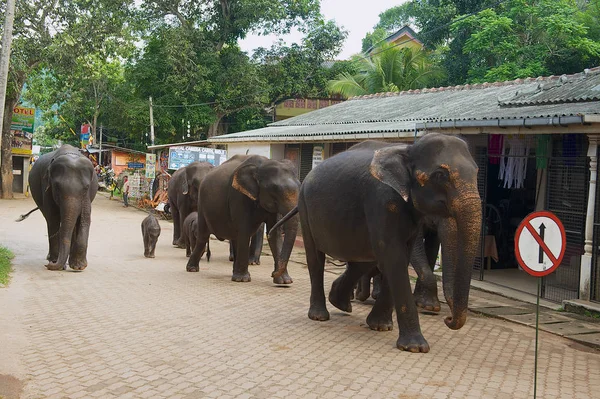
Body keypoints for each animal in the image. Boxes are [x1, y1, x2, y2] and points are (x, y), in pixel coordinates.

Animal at [19, 144, 98, 272]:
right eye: (57, 187)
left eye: (86, 188)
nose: (49, 265)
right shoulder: (47, 187)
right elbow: (53, 218)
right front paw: (56, 263)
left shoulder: (87, 196)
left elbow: (85, 219)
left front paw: (78, 267)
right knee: (49, 219)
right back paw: (52, 258)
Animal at [186, 155, 300, 286]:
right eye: (274, 189)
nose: (272, 273)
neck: (262, 165)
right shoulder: (238, 196)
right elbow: (245, 231)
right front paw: (243, 279)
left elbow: (275, 236)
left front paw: (284, 282)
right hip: (202, 205)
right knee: (203, 236)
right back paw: (192, 269)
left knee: (235, 237)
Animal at [272, 135, 482, 354]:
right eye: (440, 175)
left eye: (477, 172)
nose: (448, 319)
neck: (408, 150)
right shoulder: (381, 201)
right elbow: (394, 256)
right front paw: (415, 347)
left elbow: (399, 256)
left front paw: (381, 327)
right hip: (305, 208)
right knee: (316, 259)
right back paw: (319, 315)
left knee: (364, 259)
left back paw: (341, 303)